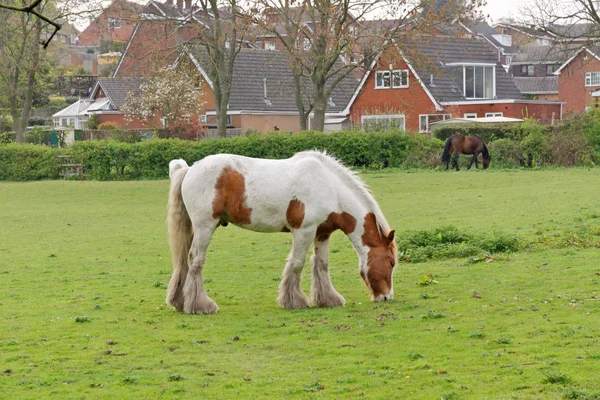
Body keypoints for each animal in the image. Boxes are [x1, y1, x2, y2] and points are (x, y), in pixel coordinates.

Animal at [166, 150, 396, 312]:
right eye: (392, 262)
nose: (387, 297)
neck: (328, 186)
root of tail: (190, 169)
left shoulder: (322, 233)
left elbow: (321, 264)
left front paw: (328, 299)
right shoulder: (304, 231)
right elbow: (297, 263)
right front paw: (294, 301)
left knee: (184, 262)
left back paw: (181, 302)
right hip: (205, 227)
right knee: (195, 261)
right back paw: (200, 305)